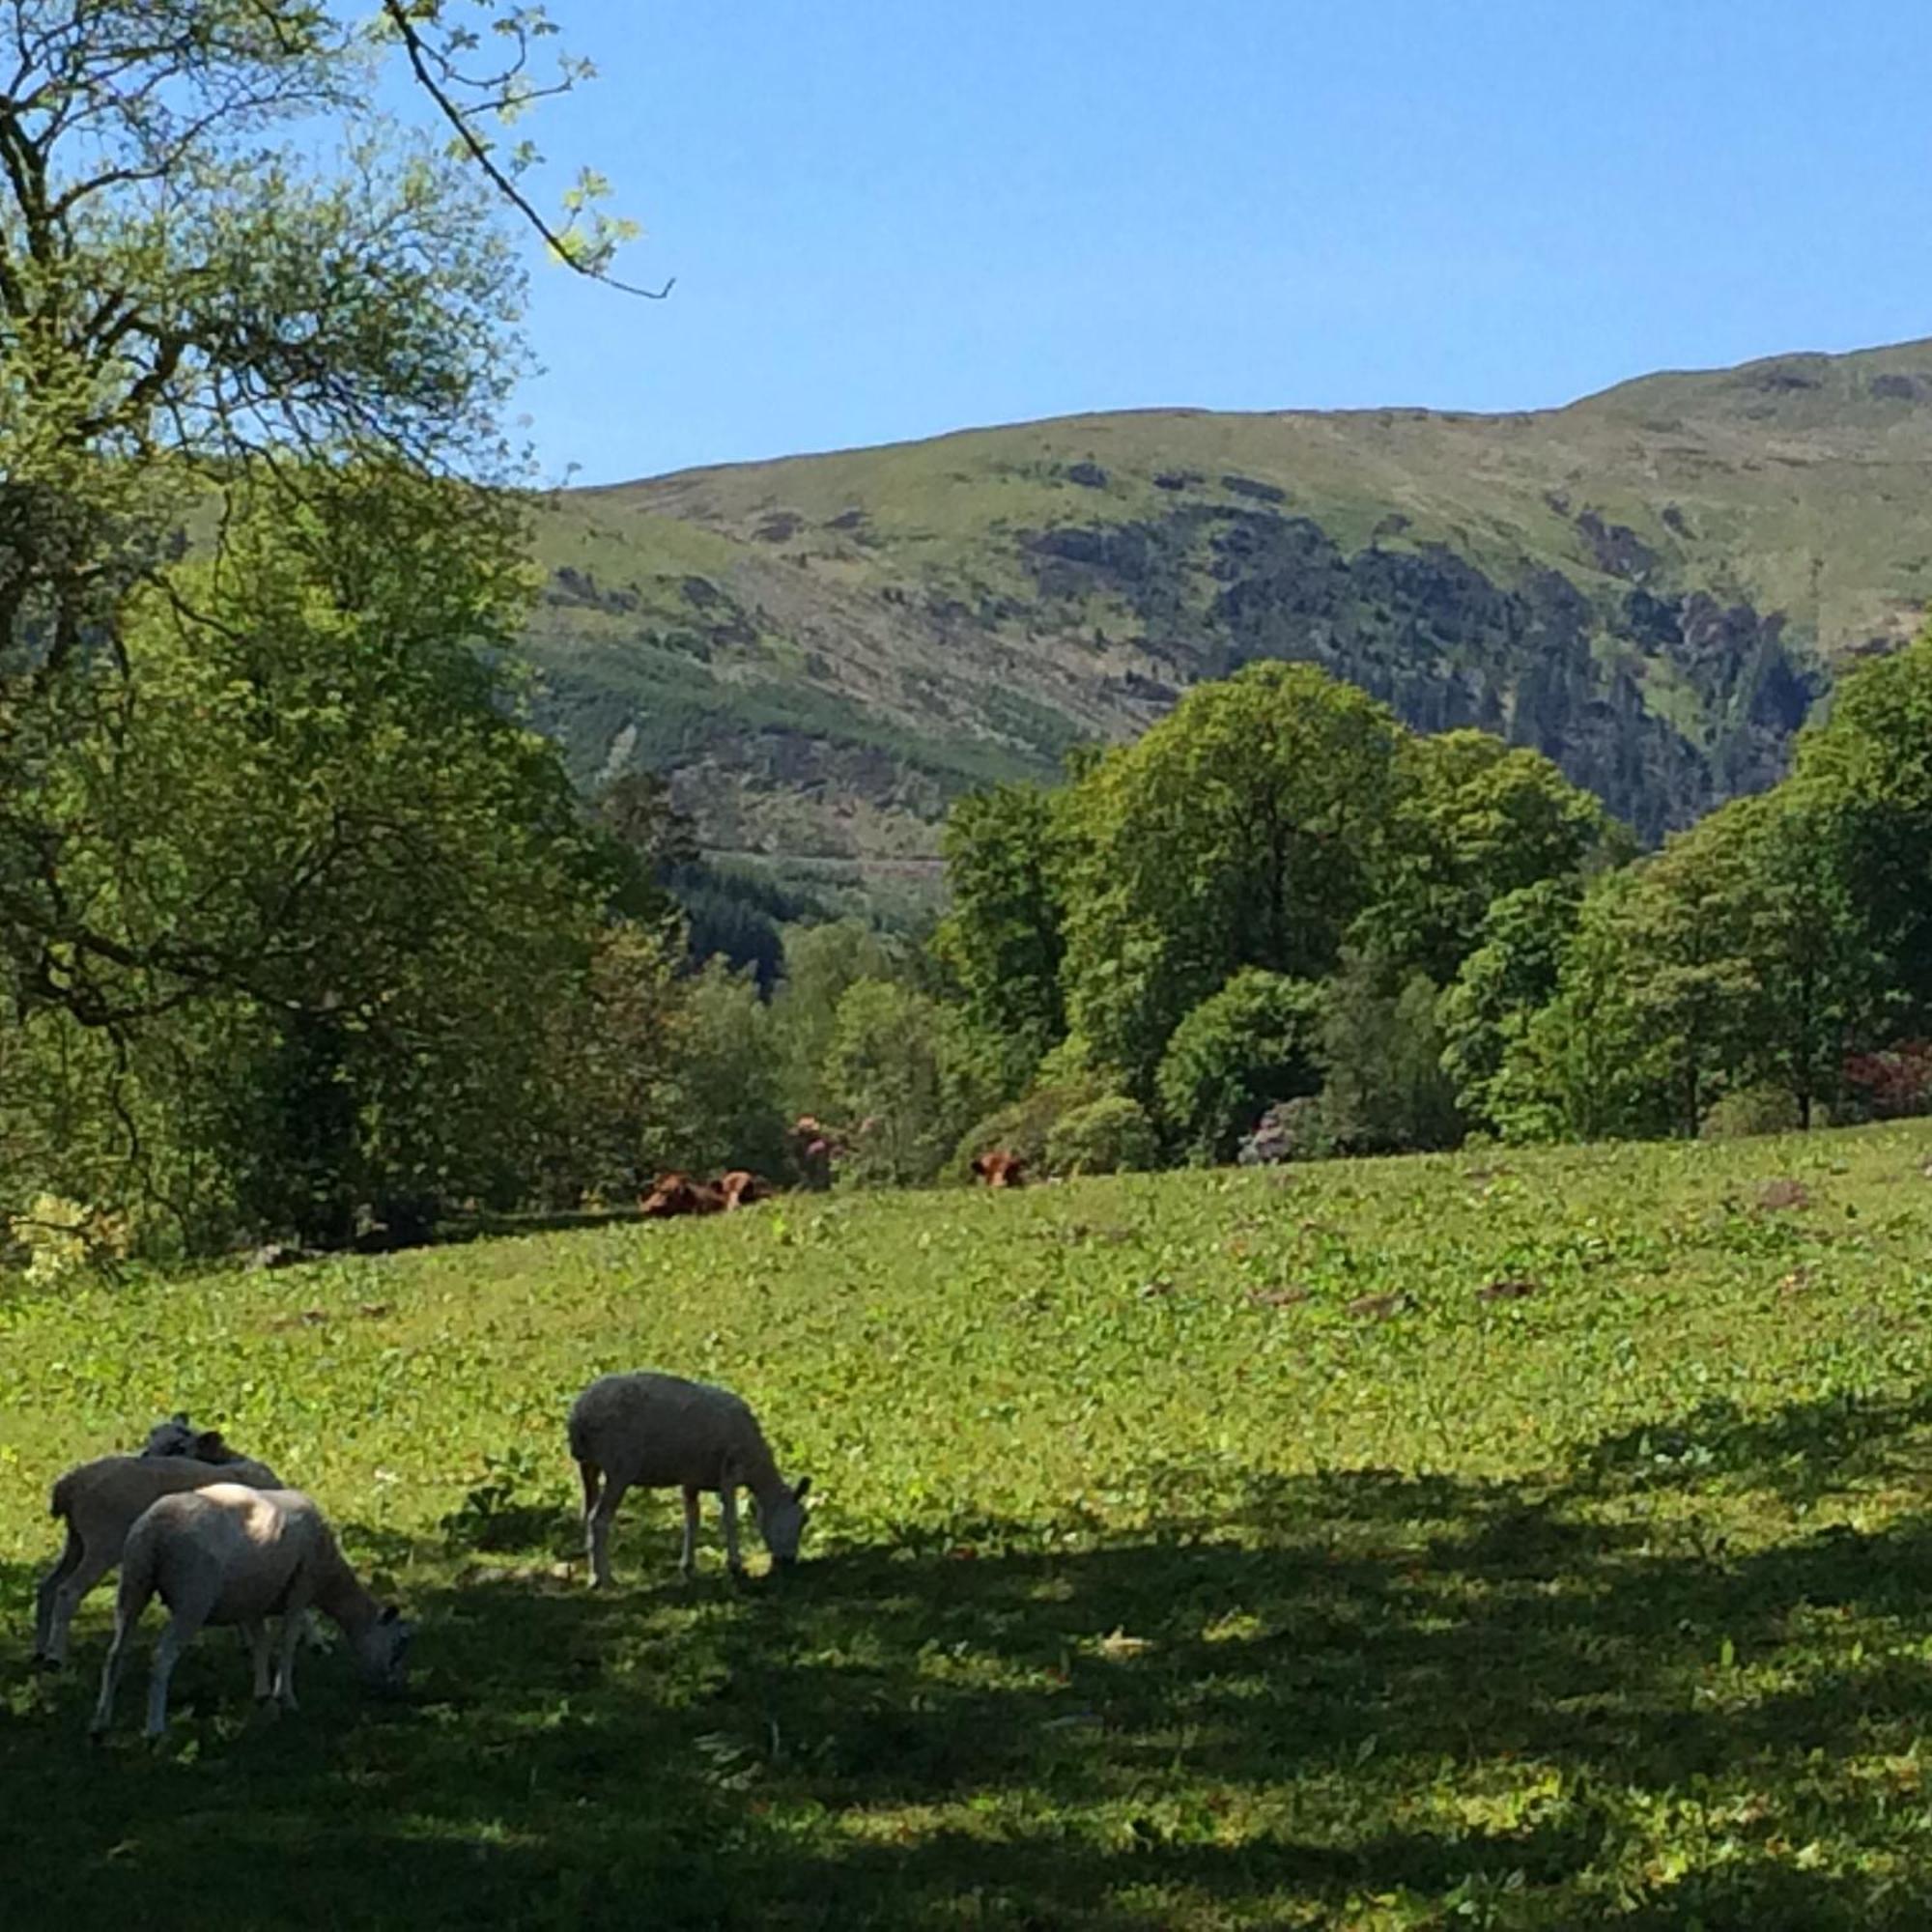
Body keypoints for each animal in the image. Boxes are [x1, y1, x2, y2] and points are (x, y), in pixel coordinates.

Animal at [32, 1445, 282, 1669]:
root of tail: (70, 1484)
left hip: (77, 1539)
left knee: (48, 1586)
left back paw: (41, 1650)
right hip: (102, 1543)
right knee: (68, 1591)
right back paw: (55, 1657)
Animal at [89, 1484, 413, 1747]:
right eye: (398, 1644)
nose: (397, 1690)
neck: (330, 1581)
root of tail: (154, 1532)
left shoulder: (253, 1601)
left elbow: (261, 1642)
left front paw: (262, 1695)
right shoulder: (301, 1588)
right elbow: (287, 1643)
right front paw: (286, 1698)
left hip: (133, 1585)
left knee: (114, 1655)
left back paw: (100, 1725)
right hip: (192, 1598)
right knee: (162, 1658)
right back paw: (155, 1729)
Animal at [572, 1360, 815, 1584]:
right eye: (804, 1518)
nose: (789, 1561)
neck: (756, 1468)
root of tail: (580, 1415)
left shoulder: (691, 1480)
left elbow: (692, 1519)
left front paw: (687, 1566)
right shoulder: (729, 1472)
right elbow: (730, 1518)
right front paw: (735, 1564)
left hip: (588, 1465)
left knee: (588, 1513)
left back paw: (591, 1569)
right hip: (619, 1469)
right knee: (598, 1520)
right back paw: (603, 1577)